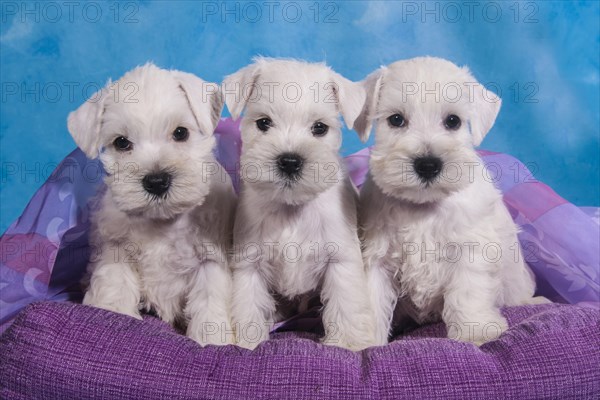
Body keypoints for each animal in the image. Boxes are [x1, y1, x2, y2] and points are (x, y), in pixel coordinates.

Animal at [69, 64, 236, 346]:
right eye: (121, 142)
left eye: (181, 132)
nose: (157, 181)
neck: (162, 221)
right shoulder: (116, 250)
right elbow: (114, 288)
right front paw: (111, 314)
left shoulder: (210, 259)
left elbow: (210, 303)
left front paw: (212, 340)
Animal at [223, 57, 378, 352]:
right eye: (264, 123)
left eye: (319, 127)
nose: (290, 161)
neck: (292, 207)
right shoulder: (249, 264)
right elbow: (248, 307)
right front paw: (248, 344)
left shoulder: (340, 260)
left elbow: (345, 305)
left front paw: (348, 344)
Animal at [354, 57, 536, 346]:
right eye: (396, 119)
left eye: (453, 121)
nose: (428, 165)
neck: (423, 206)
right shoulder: (378, 259)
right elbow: (372, 299)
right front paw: (364, 341)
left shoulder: (471, 251)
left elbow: (468, 293)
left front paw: (476, 332)